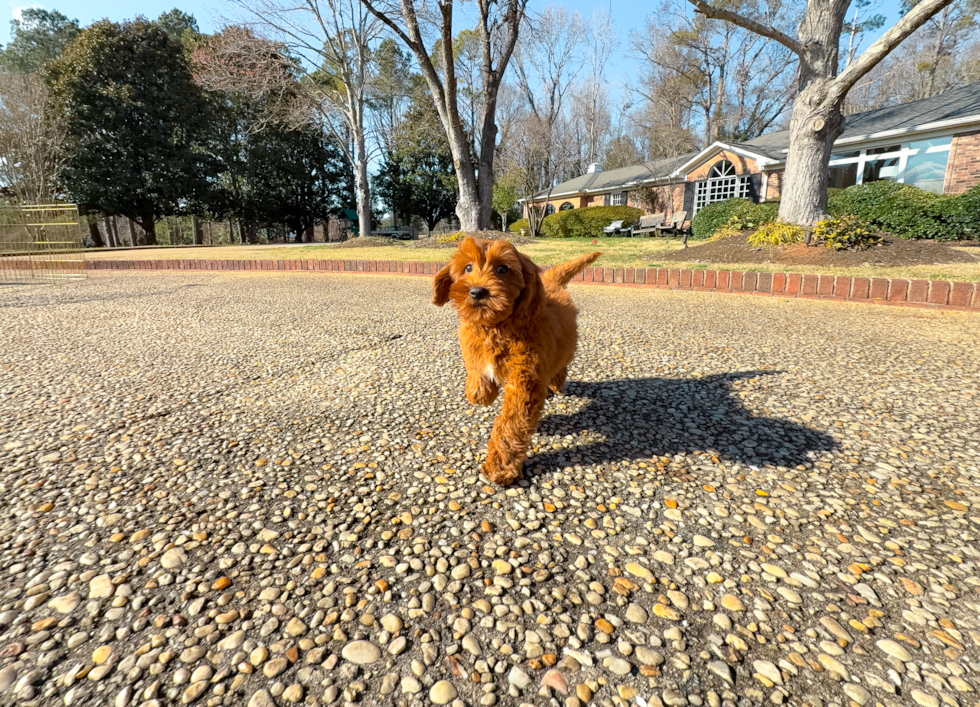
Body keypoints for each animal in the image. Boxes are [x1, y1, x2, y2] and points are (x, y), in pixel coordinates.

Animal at [432, 238, 600, 486]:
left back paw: (556, 381)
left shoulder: (524, 382)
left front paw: (500, 468)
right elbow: (476, 370)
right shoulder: (472, 341)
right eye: (468, 268)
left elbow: (510, 426)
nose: (477, 291)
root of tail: (550, 282)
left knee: (561, 363)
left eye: (503, 269)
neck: (496, 327)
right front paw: (480, 391)